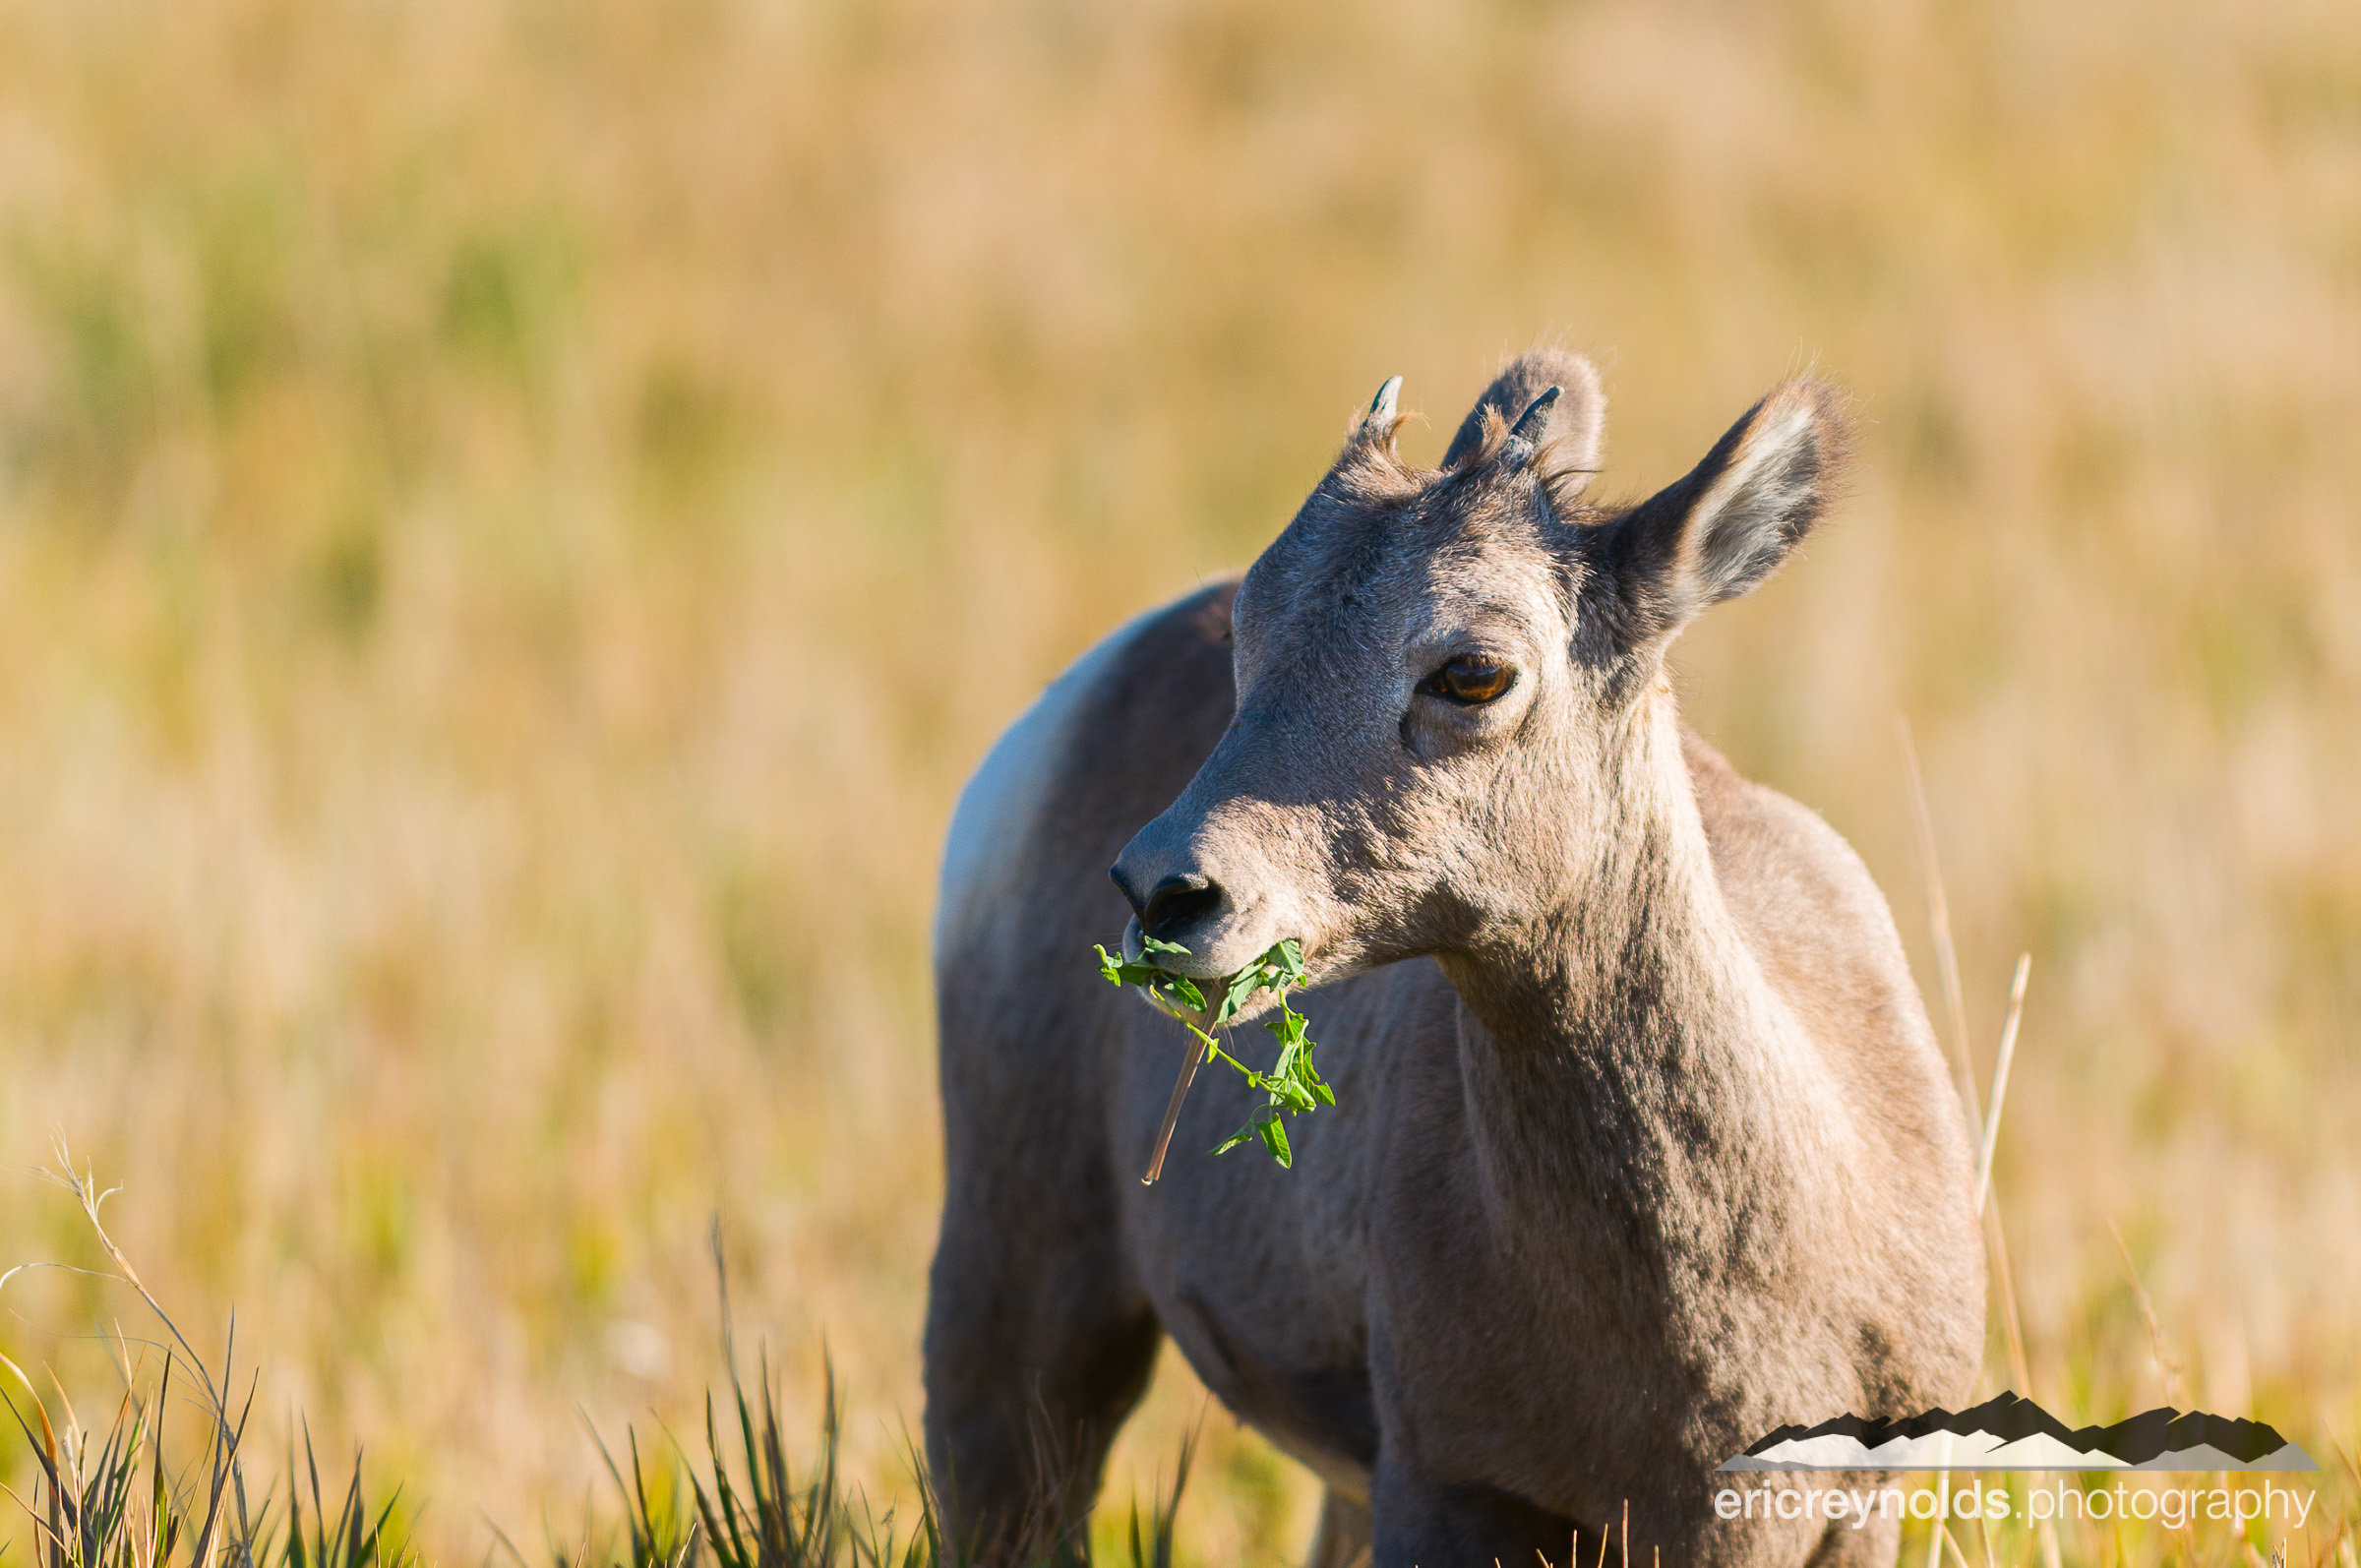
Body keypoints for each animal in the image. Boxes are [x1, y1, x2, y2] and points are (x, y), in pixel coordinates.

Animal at [925, 351, 1992, 1568]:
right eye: (1251, 632)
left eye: (1473, 672)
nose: (1165, 893)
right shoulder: (1450, 1488)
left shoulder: (1853, 1512)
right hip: (1024, 1306)